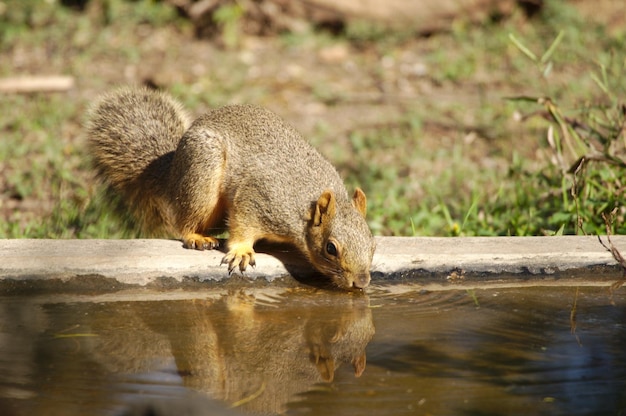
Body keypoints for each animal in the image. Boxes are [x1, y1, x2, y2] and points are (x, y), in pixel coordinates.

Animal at [84, 87, 372, 290]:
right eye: (331, 248)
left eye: (372, 243)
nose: (361, 282)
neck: (305, 206)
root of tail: (173, 171)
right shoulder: (260, 197)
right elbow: (243, 223)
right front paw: (242, 251)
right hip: (202, 175)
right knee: (185, 221)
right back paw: (197, 237)